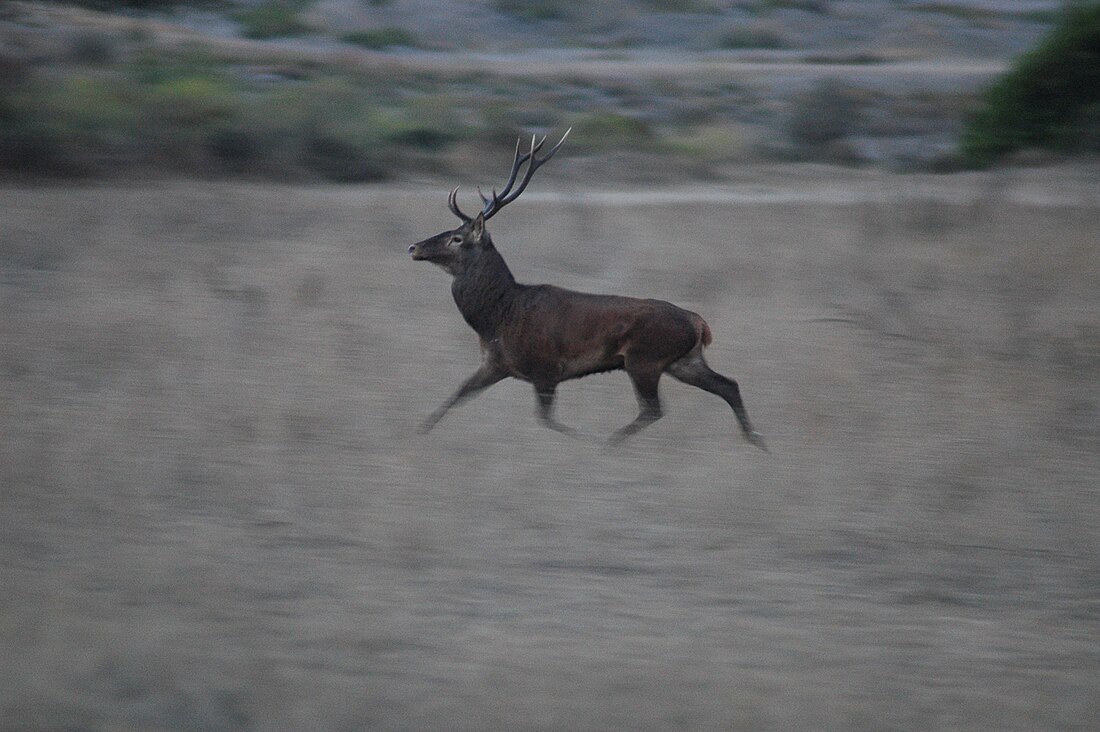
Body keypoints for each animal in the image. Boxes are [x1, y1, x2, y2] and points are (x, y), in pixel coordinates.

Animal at [409, 131, 770, 451]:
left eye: (457, 238)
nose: (414, 247)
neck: (497, 317)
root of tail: (699, 323)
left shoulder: (544, 368)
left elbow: (546, 419)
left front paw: (587, 440)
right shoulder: (495, 364)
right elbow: (456, 396)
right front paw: (418, 432)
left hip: (645, 358)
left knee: (654, 409)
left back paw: (609, 444)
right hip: (684, 360)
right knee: (728, 385)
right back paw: (758, 442)